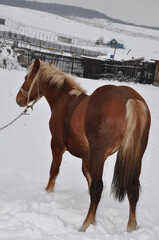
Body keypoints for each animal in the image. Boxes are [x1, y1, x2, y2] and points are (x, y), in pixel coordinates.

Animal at [15, 58, 150, 232]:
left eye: (26, 77)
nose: (19, 99)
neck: (64, 100)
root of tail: (131, 100)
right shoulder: (87, 156)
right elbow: (88, 178)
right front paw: (94, 219)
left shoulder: (57, 144)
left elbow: (54, 171)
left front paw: (48, 193)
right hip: (136, 156)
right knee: (133, 189)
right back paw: (131, 226)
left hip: (100, 154)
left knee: (98, 187)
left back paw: (84, 226)